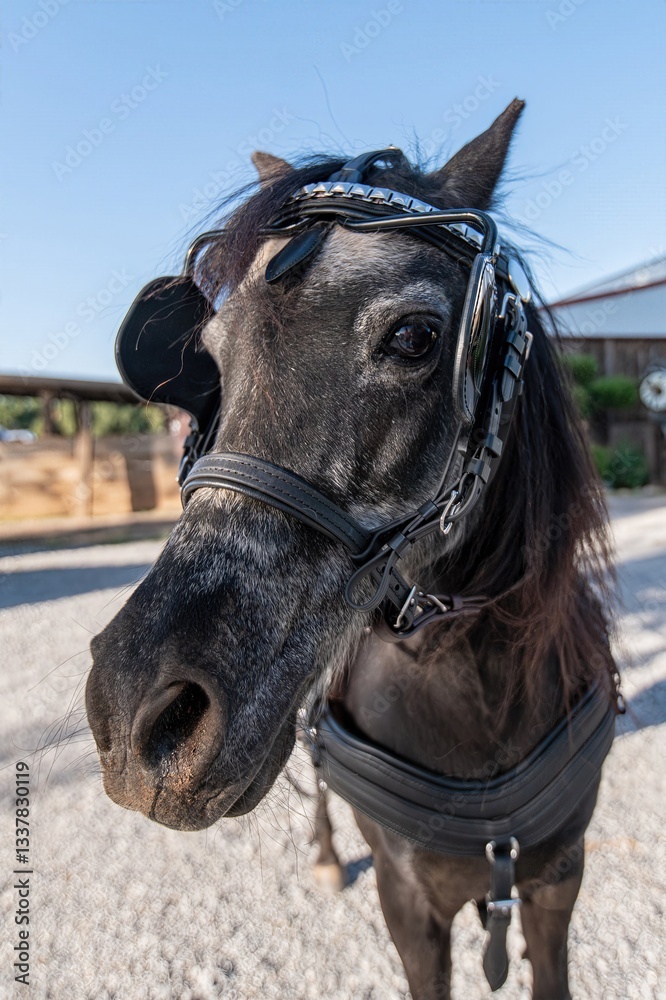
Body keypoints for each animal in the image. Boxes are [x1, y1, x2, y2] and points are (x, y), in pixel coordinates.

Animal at [85, 99, 620, 999]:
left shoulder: (557, 882)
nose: (133, 714)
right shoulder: (409, 904)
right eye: (214, 354)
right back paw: (326, 856)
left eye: (416, 337)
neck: (477, 694)